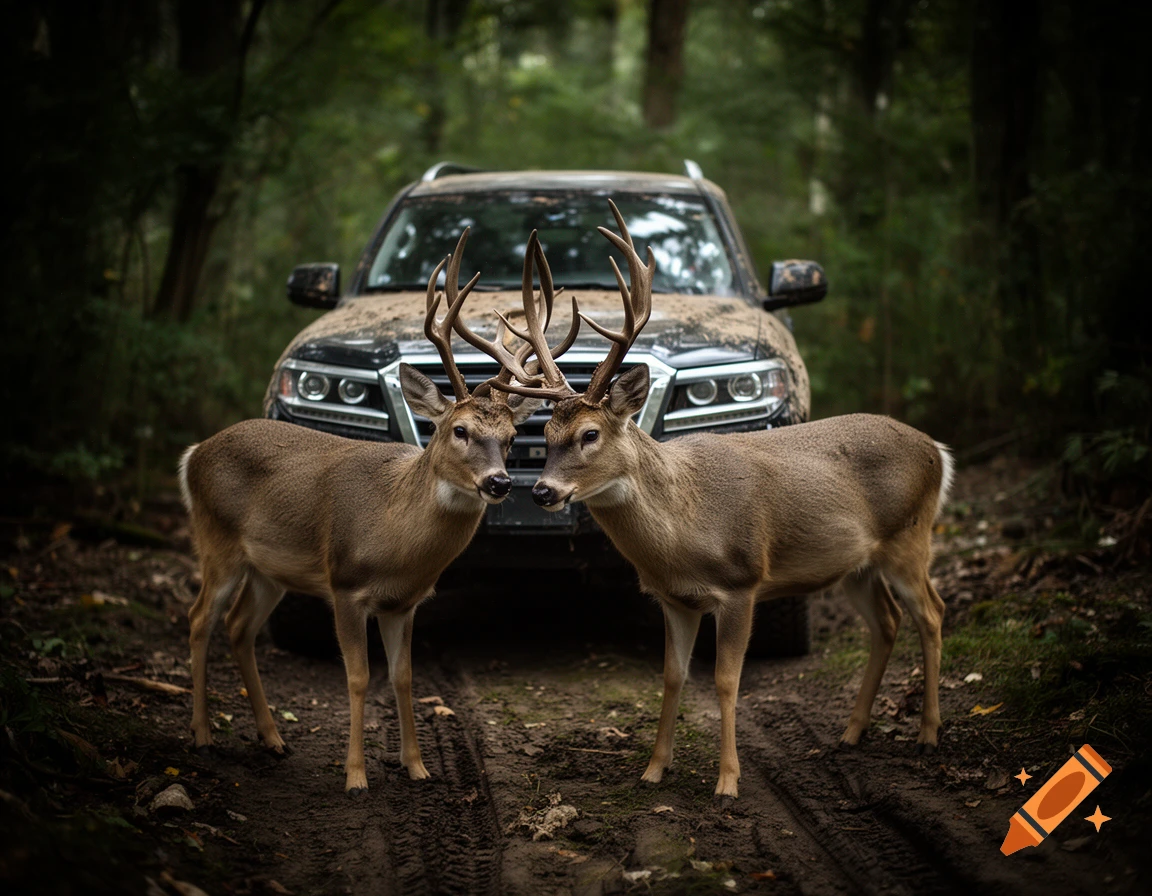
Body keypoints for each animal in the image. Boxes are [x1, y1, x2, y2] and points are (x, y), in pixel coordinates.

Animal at [178, 229, 565, 794]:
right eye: (459, 430)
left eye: (513, 437)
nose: (497, 482)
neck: (393, 535)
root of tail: (194, 453)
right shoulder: (343, 584)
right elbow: (359, 677)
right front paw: (356, 775)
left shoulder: (403, 602)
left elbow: (402, 677)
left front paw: (418, 766)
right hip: (216, 540)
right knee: (199, 618)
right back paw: (204, 736)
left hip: (269, 569)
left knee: (238, 626)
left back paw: (273, 739)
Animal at [470, 201, 955, 799]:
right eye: (546, 436)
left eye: (589, 434)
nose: (541, 491)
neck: (685, 531)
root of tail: (936, 449)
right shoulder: (674, 598)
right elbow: (672, 677)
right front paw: (654, 769)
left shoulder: (743, 584)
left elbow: (726, 681)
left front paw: (727, 781)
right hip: (855, 563)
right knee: (886, 622)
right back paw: (851, 733)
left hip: (911, 536)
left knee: (931, 613)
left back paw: (928, 734)